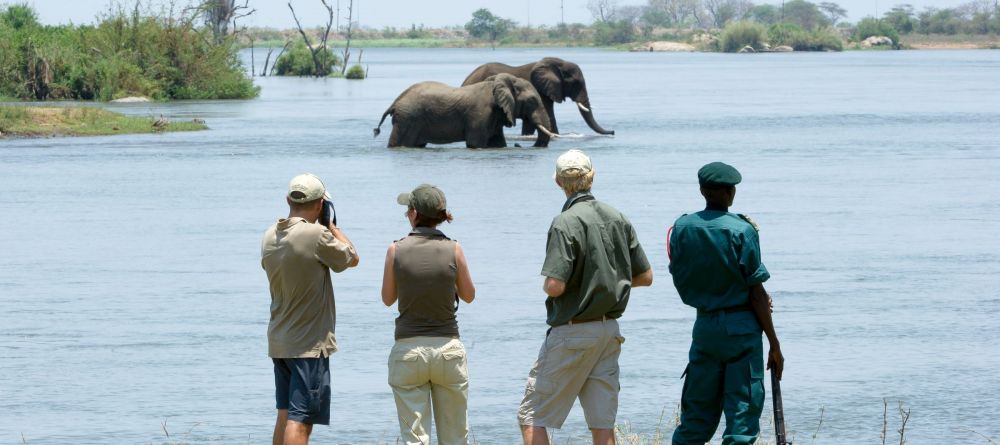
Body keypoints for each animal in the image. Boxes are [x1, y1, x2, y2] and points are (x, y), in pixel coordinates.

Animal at [376, 73, 564, 148]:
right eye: (532, 101)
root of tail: (395, 102)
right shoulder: (480, 114)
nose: (518, 144)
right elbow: (475, 143)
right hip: (408, 119)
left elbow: (498, 144)